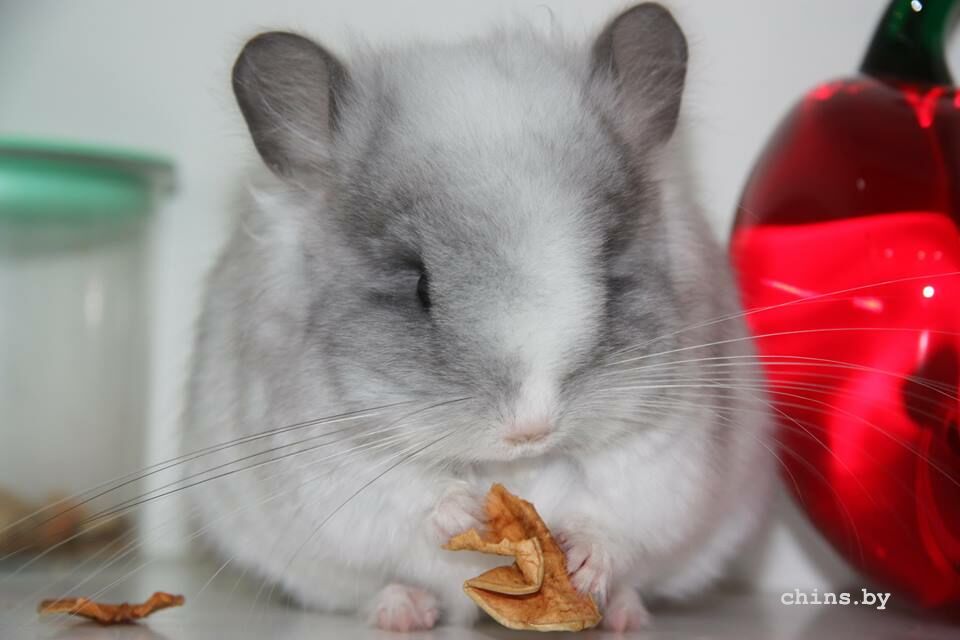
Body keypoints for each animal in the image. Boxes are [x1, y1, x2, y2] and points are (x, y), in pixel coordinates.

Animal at [183, 2, 775, 632]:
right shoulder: (336, 462)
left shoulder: (665, 446)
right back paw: (404, 612)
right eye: (419, 285)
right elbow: (412, 498)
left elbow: (615, 518)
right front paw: (464, 512)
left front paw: (584, 560)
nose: (531, 430)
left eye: (609, 266)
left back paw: (624, 615)